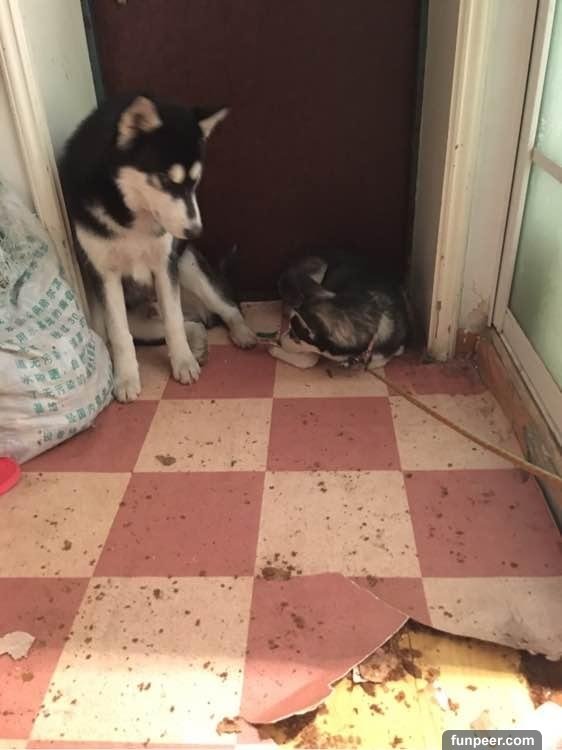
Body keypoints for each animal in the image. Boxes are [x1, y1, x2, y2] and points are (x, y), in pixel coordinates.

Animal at [60, 94, 256, 402]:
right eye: (165, 180)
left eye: (195, 181)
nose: (195, 232)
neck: (131, 217)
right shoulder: (105, 274)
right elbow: (120, 335)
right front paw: (126, 378)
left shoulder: (166, 265)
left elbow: (173, 322)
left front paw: (183, 363)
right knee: (187, 324)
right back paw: (198, 342)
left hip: (188, 268)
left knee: (226, 308)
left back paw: (241, 334)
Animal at [270, 252, 409, 369]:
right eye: (290, 331)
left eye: (295, 338)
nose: (279, 341)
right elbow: (311, 359)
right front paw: (275, 348)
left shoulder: (395, 350)